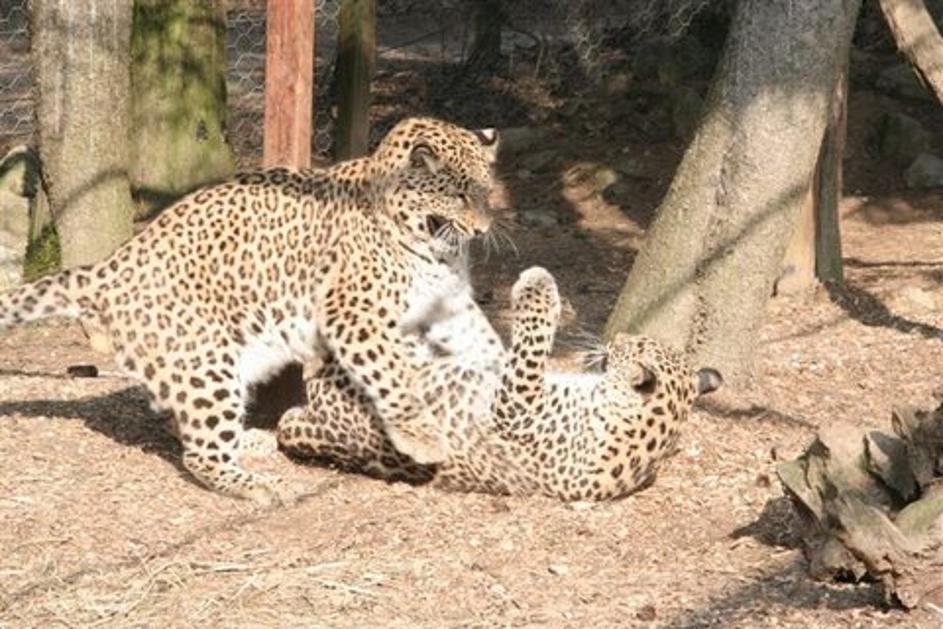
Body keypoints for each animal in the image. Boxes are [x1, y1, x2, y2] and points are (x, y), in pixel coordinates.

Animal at [0, 116, 507, 505]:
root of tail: (105, 269)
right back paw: (256, 483)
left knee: (177, 420)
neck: (431, 247)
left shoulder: (450, 302)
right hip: (205, 361)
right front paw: (421, 437)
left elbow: (485, 341)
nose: (483, 230)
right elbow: (392, 375)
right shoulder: (354, 315)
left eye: (487, 192)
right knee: (199, 452)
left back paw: (251, 442)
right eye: (459, 195)